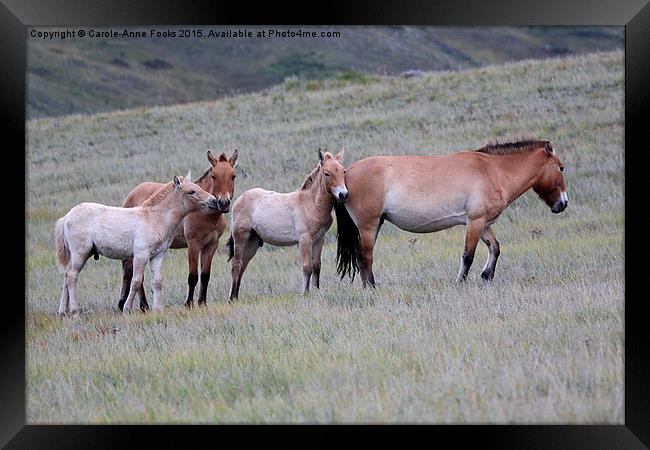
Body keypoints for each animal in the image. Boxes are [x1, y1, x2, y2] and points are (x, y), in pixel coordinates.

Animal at [55, 172, 218, 316]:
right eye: (192, 191)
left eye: (198, 187)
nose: (214, 201)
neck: (154, 218)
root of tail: (67, 216)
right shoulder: (141, 255)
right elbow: (136, 281)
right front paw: (127, 309)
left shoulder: (158, 255)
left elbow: (157, 281)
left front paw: (158, 310)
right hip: (80, 253)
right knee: (72, 276)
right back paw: (74, 312)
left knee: (66, 275)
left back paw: (63, 311)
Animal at [117, 149, 237, 312]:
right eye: (214, 176)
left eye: (233, 176)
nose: (223, 203)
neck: (205, 214)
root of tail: (132, 194)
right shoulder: (193, 245)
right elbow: (193, 276)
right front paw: (189, 304)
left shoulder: (211, 245)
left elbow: (205, 275)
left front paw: (202, 302)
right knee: (133, 275)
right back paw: (143, 306)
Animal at [227, 149, 350, 300]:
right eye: (327, 173)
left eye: (343, 171)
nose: (343, 194)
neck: (311, 203)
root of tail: (239, 200)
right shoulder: (305, 239)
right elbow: (307, 267)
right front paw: (305, 293)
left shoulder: (319, 239)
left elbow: (316, 266)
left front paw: (316, 291)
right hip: (240, 237)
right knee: (236, 264)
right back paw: (231, 299)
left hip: (252, 241)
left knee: (243, 264)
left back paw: (236, 296)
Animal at [334, 139, 568, 288]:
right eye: (561, 168)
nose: (563, 203)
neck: (492, 171)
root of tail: (345, 173)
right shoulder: (475, 221)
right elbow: (468, 255)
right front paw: (460, 282)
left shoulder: (483, 223)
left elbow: (495, 247)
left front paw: (487, 275)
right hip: (368, 225)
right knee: (365, 256)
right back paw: (371, 288)